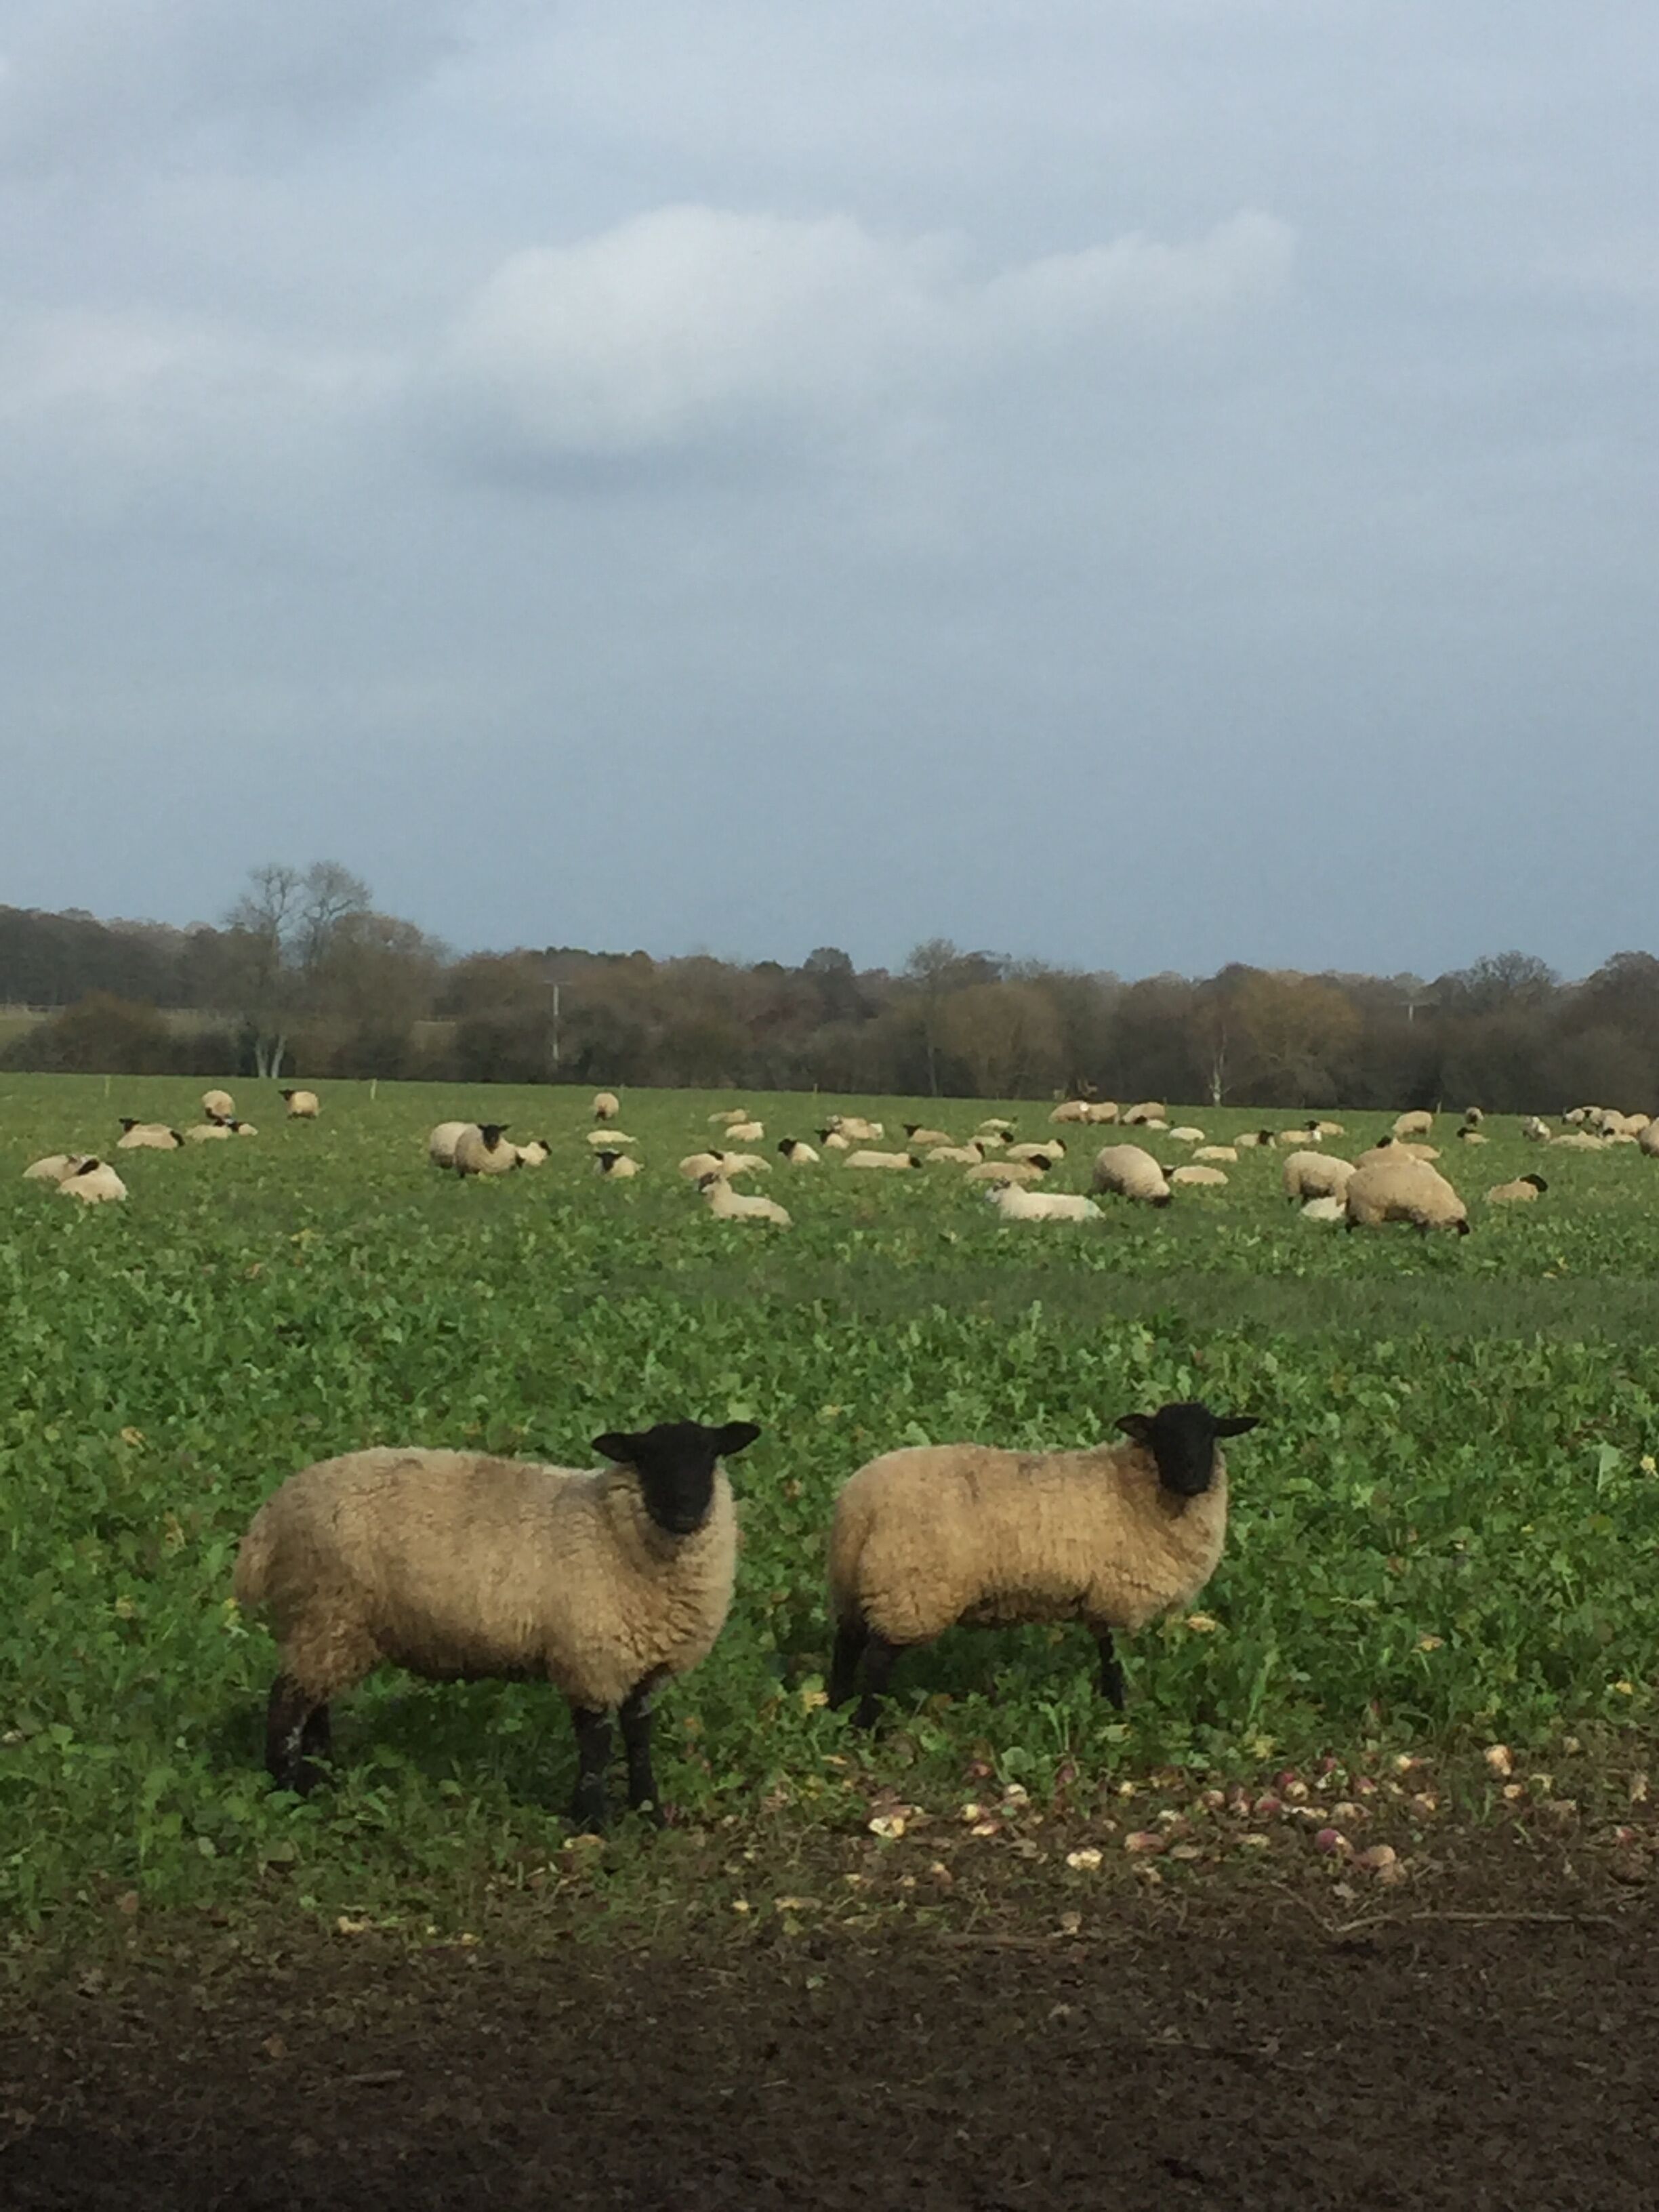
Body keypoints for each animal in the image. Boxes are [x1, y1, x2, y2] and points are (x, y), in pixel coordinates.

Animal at [233, 1418, 761, 1830]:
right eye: (648, 1458)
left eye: (710, 1455)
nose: (686, 1510)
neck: (612, 1529)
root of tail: (270, 1518)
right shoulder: (589, 1659)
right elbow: (595, 1744)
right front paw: (592, 1819)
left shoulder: (645, 1667)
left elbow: (638, 1737)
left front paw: (648, 1809)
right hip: (328, 1613)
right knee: (287, 1706)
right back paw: (286, 1788)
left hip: (328, 1626)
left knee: (313, 1700)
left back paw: (319, 1776)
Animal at [826, 1400, 1259, 1725]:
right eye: (1162, 1435)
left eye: (1210, 1434)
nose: (1192, 1480)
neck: (1132, 1487)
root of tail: (859, 1503)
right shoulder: (1120, 1597)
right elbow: (1116, 1660)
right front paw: (1121, 1713)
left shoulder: (1100, 1600)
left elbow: (1106, 1654)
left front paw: (1109, 1708)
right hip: (910, 1590)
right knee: (877, 1659)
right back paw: (868, 1726)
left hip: (856, 1584)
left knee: (847, 1643)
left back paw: (836, 1706)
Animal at [1344, 1159, 1469, 1235]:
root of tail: (1350, 1180)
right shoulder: (1425, 1215)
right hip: (1369, 1210)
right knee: (1373, 1231)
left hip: (1356, 1210)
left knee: (1349, 1226)